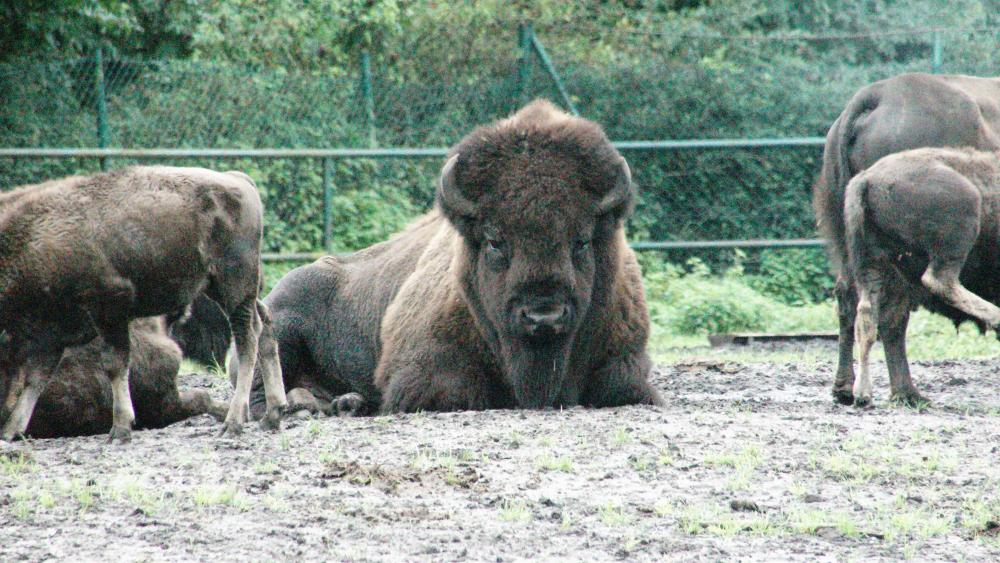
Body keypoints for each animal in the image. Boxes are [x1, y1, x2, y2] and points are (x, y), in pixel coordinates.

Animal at [249, 99, 660, 414]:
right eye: (494, 241)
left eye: (582, 240)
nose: (544, 314)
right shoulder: (421, 368)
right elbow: (455, 390)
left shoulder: (626, 364)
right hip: (277, 323)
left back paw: (345, 402)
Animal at [848, 148, 1000, 408]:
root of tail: (866, 178)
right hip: (962, 225)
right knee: (939, 280)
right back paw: (997, 317)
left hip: (874, 263)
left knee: (868, 314)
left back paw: (863, 393)